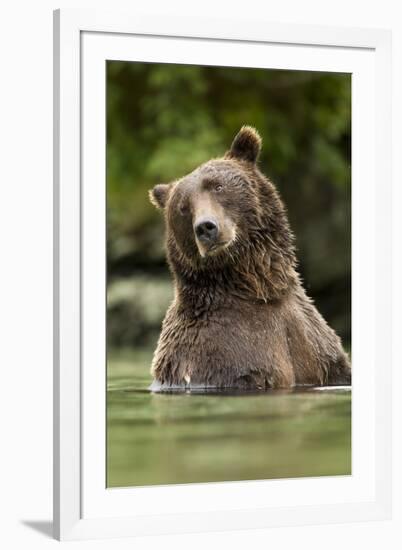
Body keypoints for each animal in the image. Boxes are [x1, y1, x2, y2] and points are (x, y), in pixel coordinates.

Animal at [148, 126, 352, 390]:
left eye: (218, 186)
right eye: (183, 207)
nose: (205, 228)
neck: (259, 289)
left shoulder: (314, 339)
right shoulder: (220, 352)